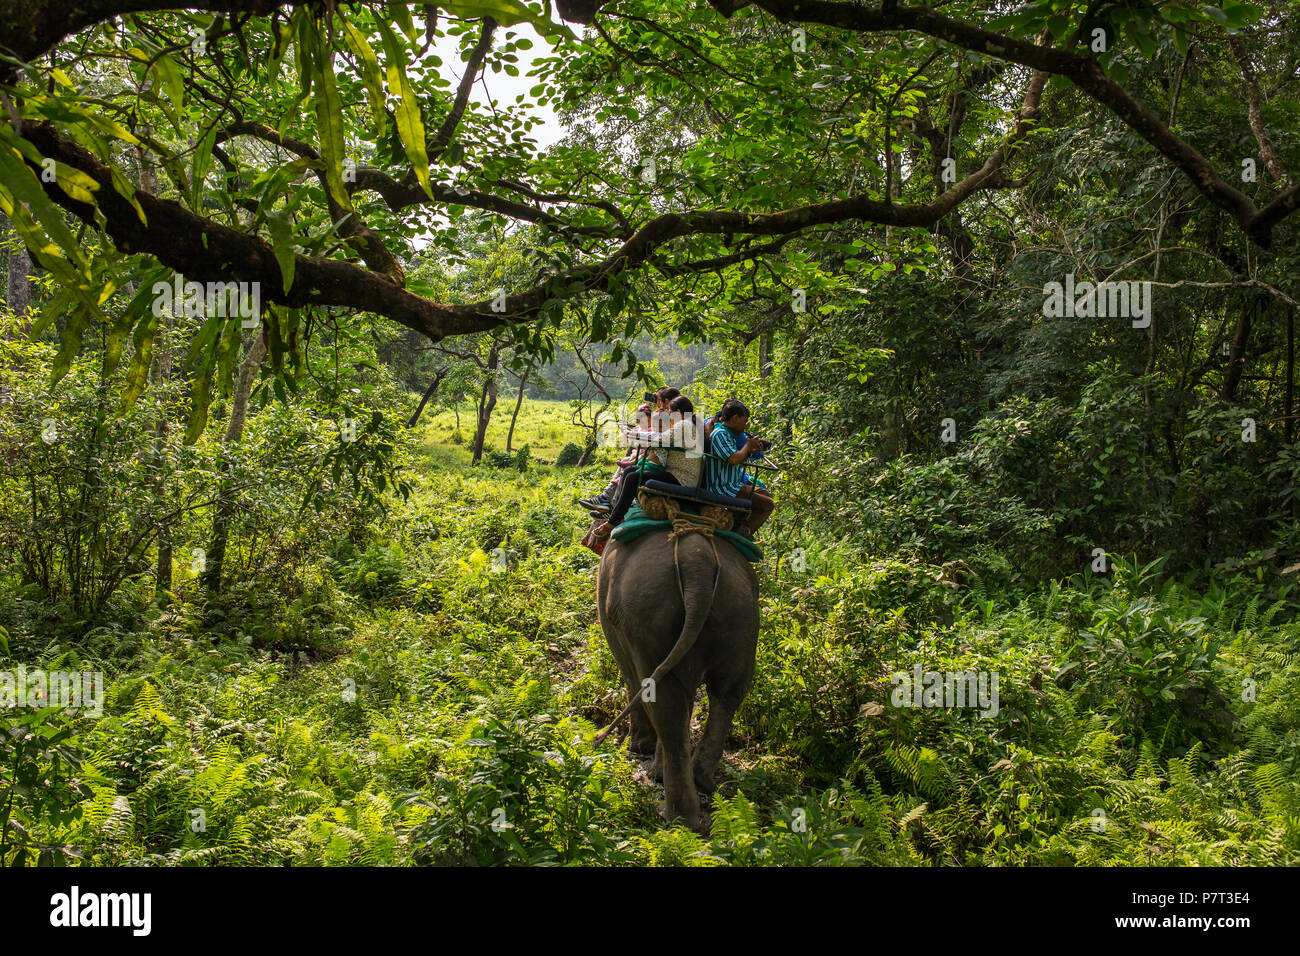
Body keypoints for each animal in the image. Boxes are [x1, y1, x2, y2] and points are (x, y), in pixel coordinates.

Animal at [595, 528, 759, 832]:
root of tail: (698, 565)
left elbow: (630, 676)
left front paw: (640, 748)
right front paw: (655, 768)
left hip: (649, 616)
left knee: (664, 705)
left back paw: (679, 820)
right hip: (742, 618)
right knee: (728, 694)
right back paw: (702, 781)